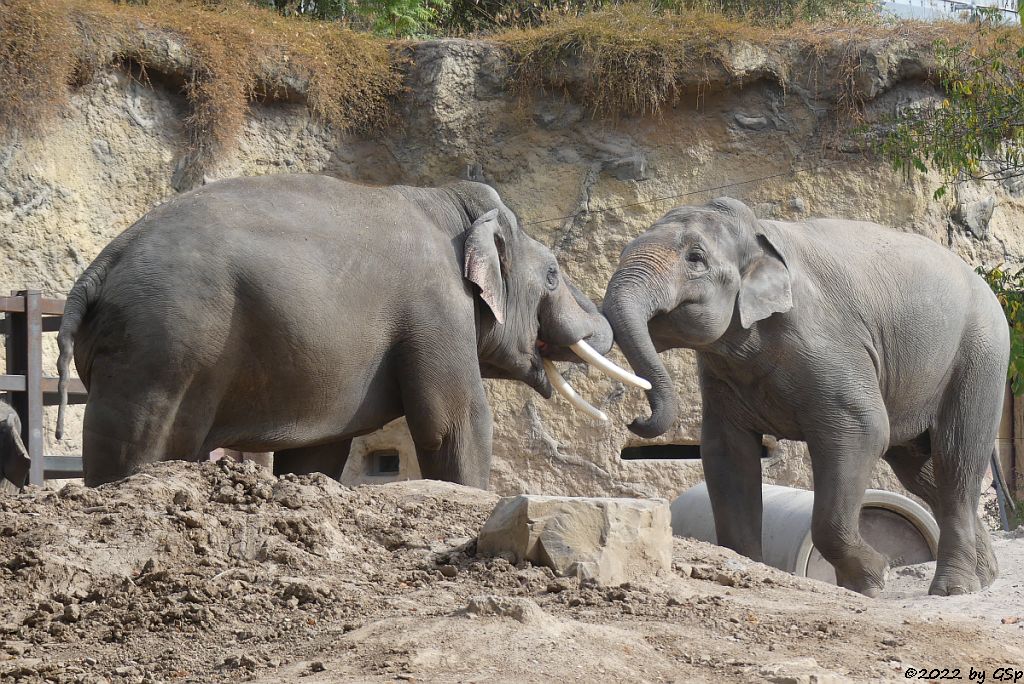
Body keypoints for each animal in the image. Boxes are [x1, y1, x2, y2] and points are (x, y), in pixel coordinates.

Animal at [56, 174, 643, 489]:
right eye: (554, 274)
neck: (448, 206)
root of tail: (100, 266)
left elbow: (318, 452)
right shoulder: (437, 306)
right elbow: (453, 421)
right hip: (163, 348)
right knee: (140, 443)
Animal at [602, 197, 1011, 597]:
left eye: (695, 258)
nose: (635, 420)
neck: (758, 230)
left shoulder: (829, 344)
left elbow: (864, 431)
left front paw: (872, 579)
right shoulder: (721, 376)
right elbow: (726, 453)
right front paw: (752, 570)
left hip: (979, 359)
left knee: (955, 461)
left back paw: (953, 589)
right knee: (920, 471)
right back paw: (985, 575)